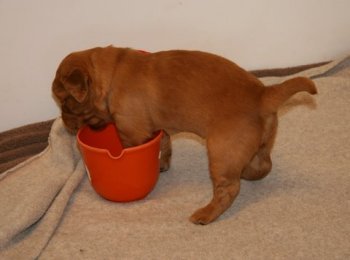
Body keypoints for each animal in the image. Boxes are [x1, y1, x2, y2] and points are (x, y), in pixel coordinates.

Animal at [52, 45, 318, 224]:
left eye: (65, 102)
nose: (64, 123)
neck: (112, 75)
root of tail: (263, 94)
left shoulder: (131, 133)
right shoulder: (159, 128)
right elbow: (165, 144)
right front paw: (161, 164)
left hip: (221, 151)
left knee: (229, 189)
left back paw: (205, 214)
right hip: (259, 144)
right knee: (264, 164)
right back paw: (248, 172)